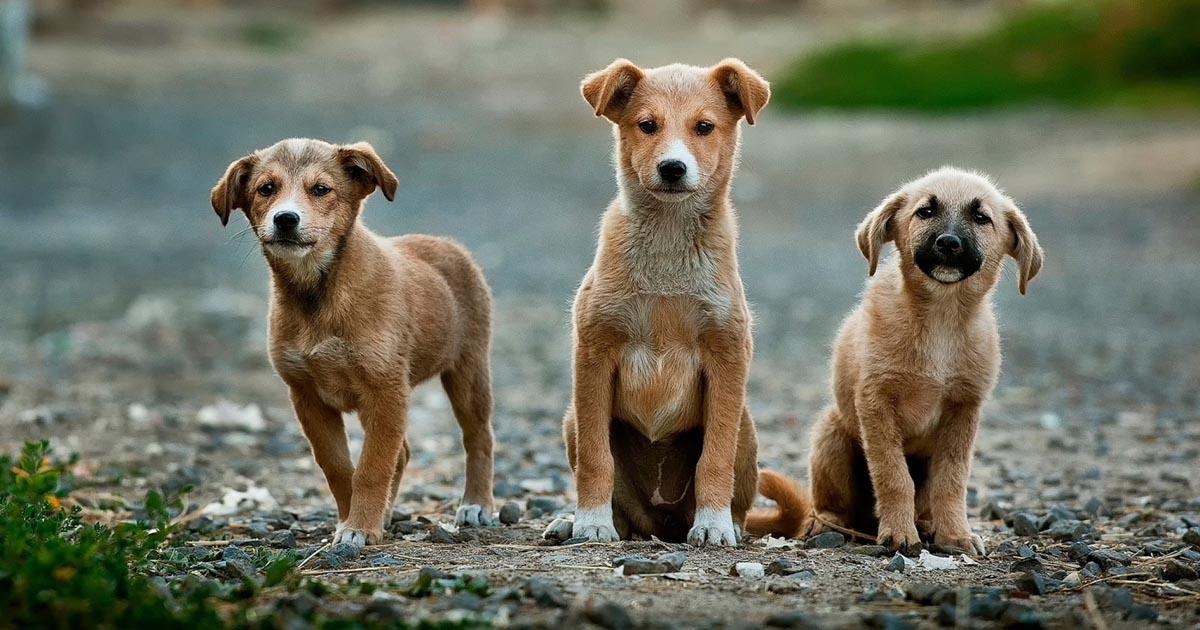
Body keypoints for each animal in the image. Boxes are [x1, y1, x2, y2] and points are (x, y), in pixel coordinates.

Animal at [208, 138, 494, 549]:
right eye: (266, 189)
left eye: (321, 189)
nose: (285, 219)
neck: (318, 293)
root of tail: (446, 244)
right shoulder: (307, 396)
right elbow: (339, 466)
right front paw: (352, 521)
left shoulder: (385, 389)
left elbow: (372, 467)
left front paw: (360, 527)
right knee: (403, 453)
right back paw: (387, 513)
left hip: (468, 371)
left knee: (478, 438)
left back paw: (476, 504)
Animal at [549, 56, 772, 542]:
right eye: (647, 125)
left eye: (704, 127)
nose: (673, 168)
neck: (668, 246)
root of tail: (661, 522)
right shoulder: (593, 353)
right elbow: (596, 459)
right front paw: (591, 522)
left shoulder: (728, 355)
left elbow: (715, 458)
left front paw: (713, 525)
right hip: (572, 419)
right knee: (621, 503)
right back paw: (576, 521)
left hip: (746, 425)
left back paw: (727, 523)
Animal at [748, 168, 1041, 554]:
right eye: (925, 211)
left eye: (981, 218)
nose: (949, 243)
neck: (940, 318)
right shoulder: (876, 403)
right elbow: (893, 476)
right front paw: (900, 533)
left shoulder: (964, 409)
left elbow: (952, 480)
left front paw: (955, 534)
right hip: (831, 433)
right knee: (829, 505)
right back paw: (829, 525)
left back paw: (928, 525)